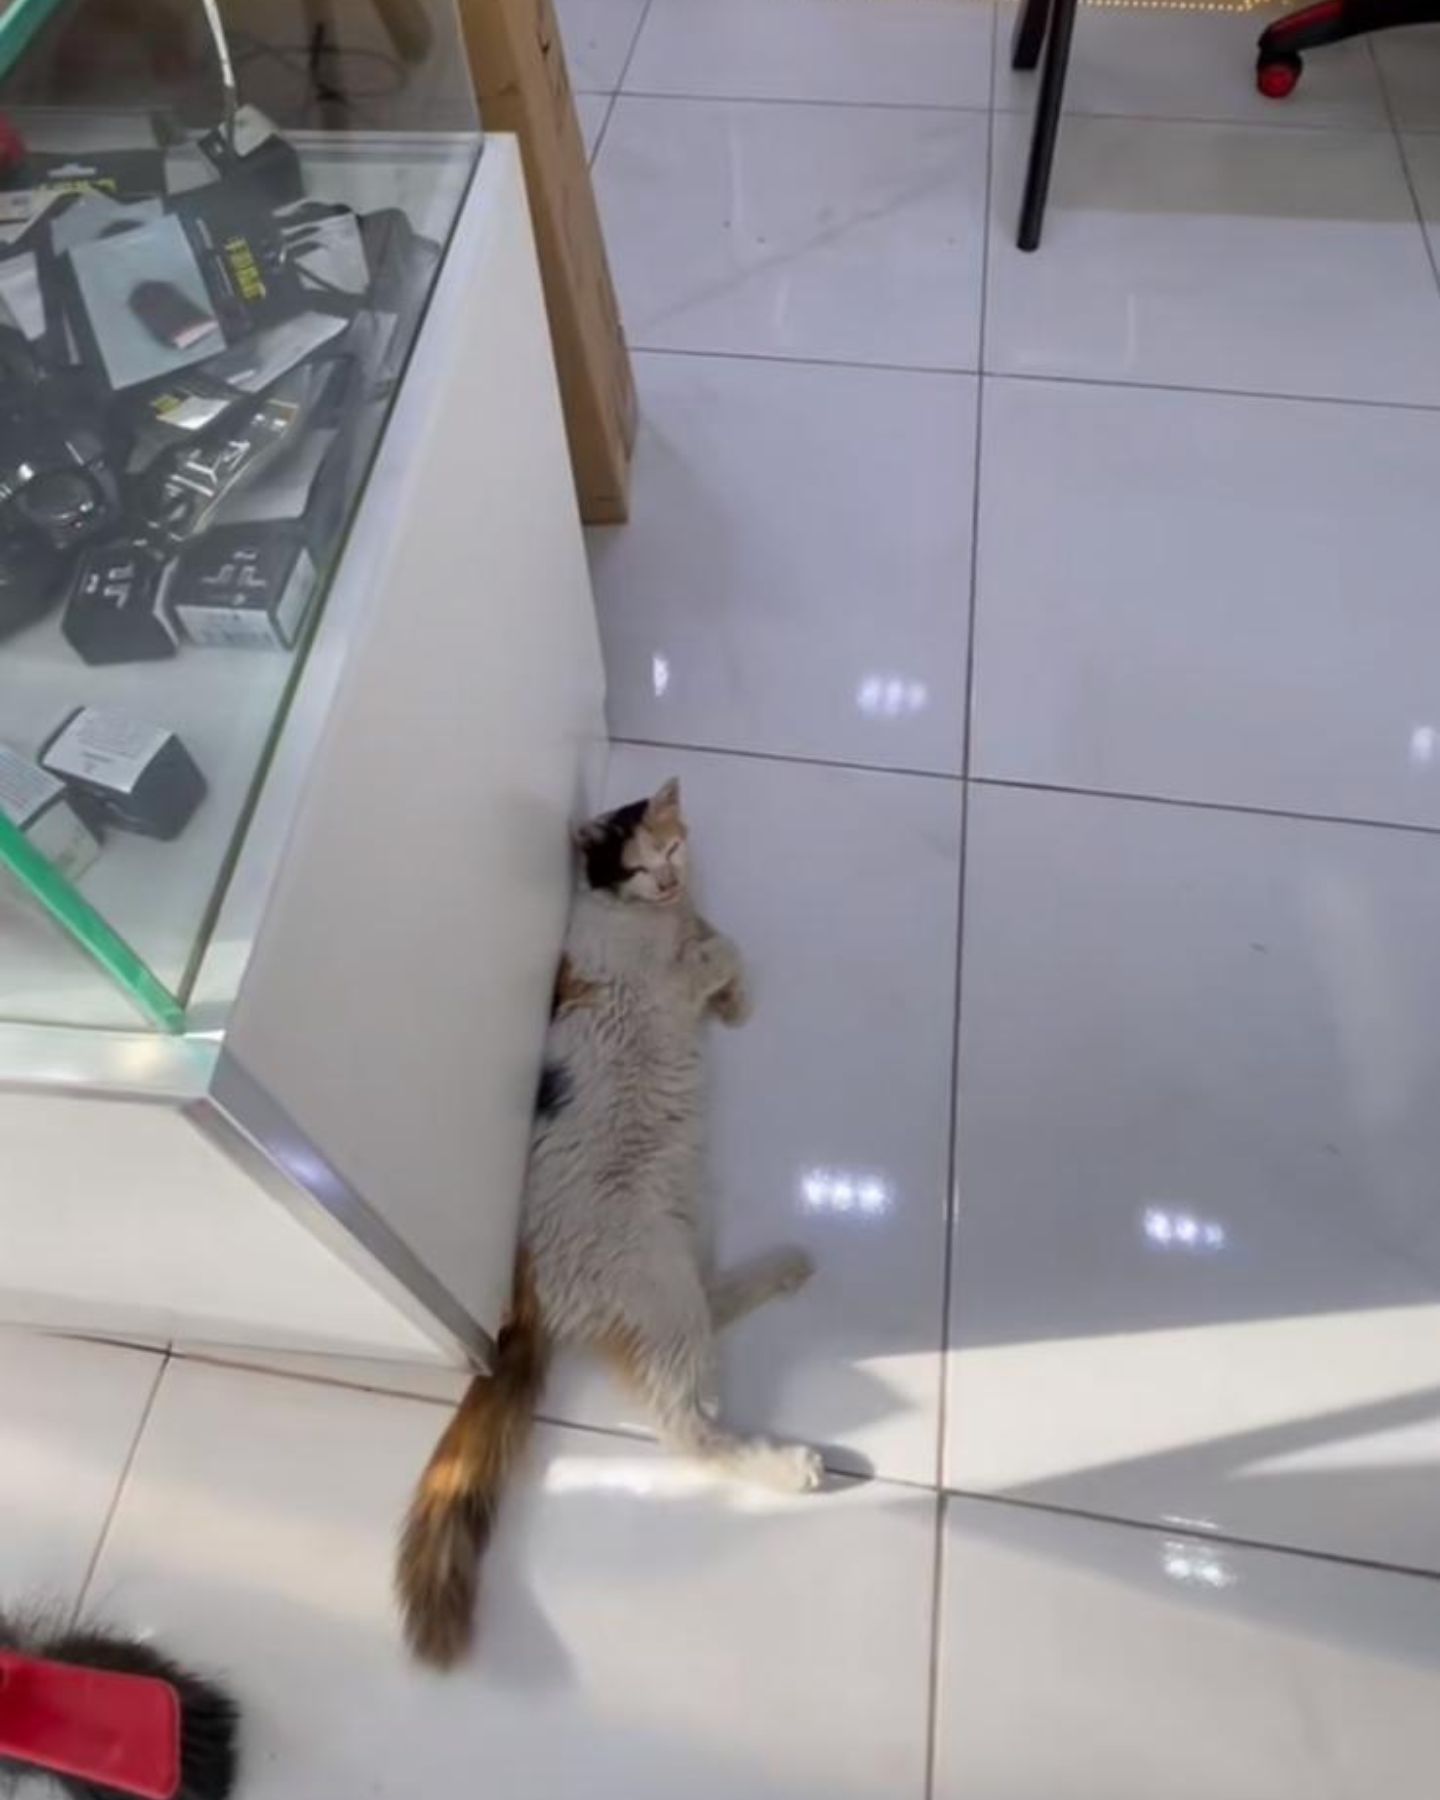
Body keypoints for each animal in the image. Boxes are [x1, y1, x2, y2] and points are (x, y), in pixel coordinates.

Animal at [394, 781, 820, 1663]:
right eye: (635, 864)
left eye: (672, 849)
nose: (668, 880)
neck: (659, 918)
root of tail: (522, 1293)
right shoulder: (663, 973)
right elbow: (725, 951)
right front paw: (734, 989)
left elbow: (720, 945)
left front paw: (735, 1004)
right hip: (659, 1294)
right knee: (689, 1430)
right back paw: (789, 1466)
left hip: (679, 1260)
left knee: (711, 1308)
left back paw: (786, 1266)